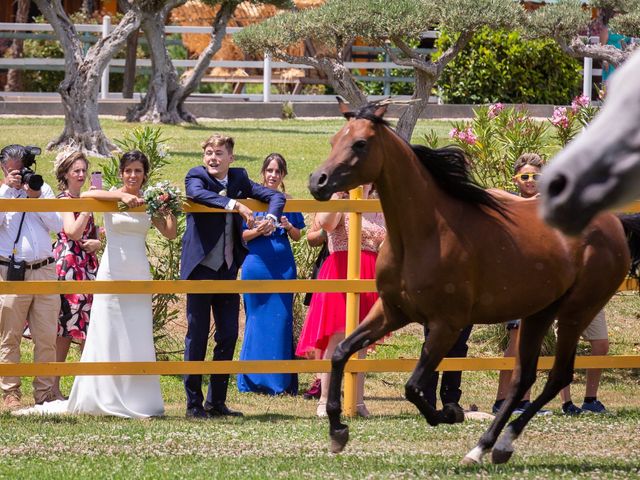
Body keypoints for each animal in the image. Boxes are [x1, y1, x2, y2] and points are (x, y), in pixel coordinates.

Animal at [308, 100, 636, 464]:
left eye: (360, 144)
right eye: (334, 140)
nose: (318, 181)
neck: (425, 232)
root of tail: (614, 223)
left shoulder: (446, 324)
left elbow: (413, 387)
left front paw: (449, 414)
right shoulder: (392, 311)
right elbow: (341, 353)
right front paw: (338, 432)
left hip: (576, 311)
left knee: (557, 375)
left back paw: (495, 445)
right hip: (539, 313)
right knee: (524, 378)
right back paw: (487, 447)